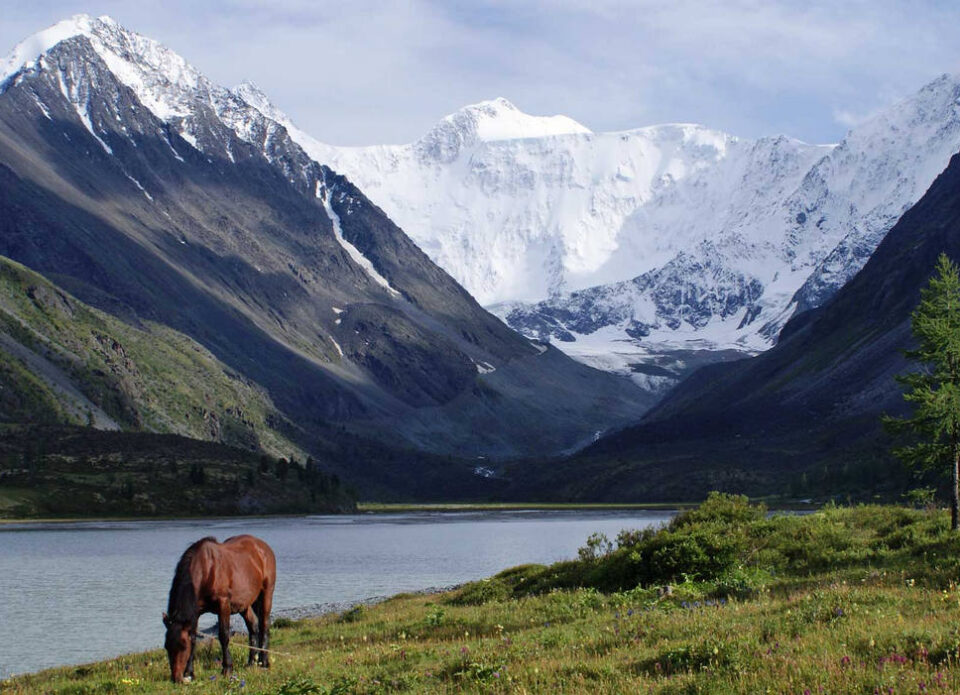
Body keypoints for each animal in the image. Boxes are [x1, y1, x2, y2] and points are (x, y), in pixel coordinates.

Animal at [161, 536, 274, 684]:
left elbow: (224, 635)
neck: (207, 570)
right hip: (245, 603)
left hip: (266, 594)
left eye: (183, 646)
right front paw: (190, 672)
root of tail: (263, 547)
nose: (176, 678)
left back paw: (263, 662)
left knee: (264, 625)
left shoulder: (223, 604)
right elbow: (193, 638)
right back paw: (251, 662)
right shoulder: (196, 612)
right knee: (253, 626)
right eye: (166, 646)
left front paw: (227, 668)